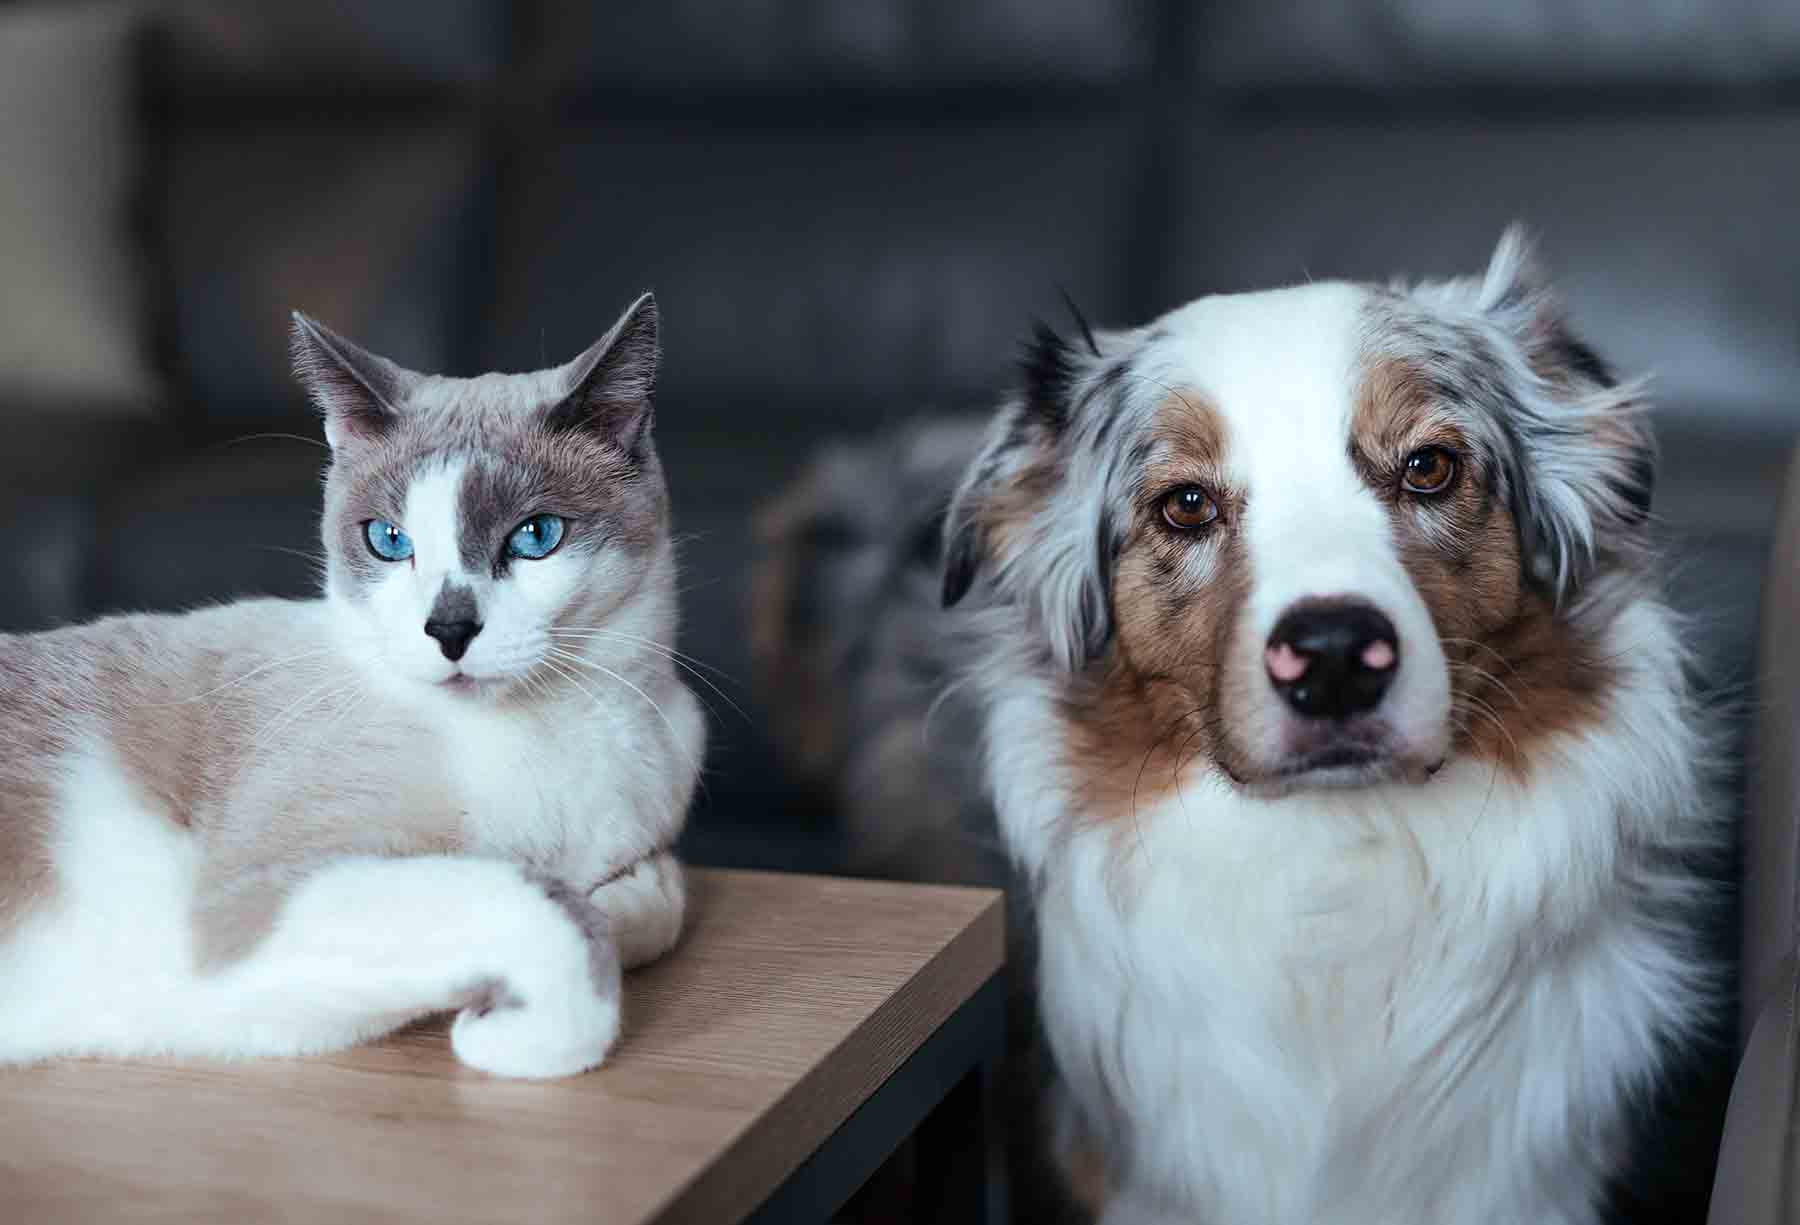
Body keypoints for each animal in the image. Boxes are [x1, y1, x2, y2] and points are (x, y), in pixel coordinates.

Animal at [0, 291, 702, 1072]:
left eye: (535, 536)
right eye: (389, 541)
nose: (449, 630)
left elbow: (653, 900)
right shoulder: (255, 904)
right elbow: (559, 922)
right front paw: (493, 1030)